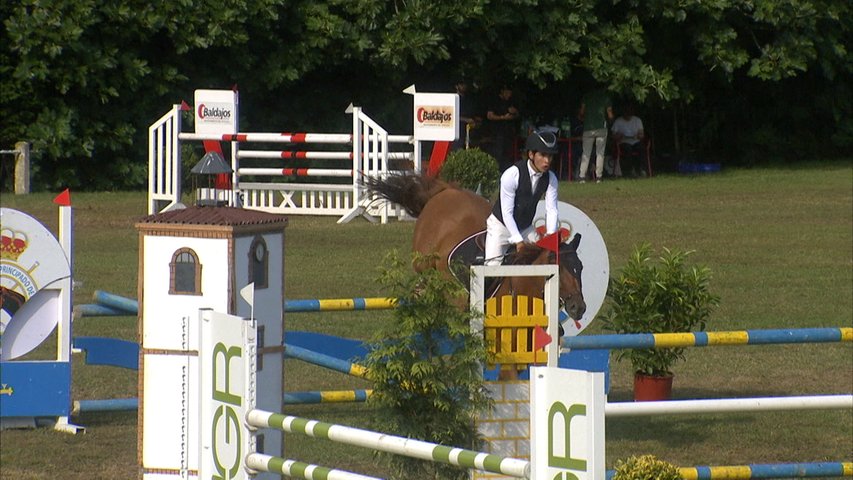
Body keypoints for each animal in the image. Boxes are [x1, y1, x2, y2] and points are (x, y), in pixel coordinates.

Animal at [360, 173, 584, 322]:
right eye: (560, 269)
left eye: (580, 268)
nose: (578, 308)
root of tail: (446, 191)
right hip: (423, 262)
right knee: (423, 279)